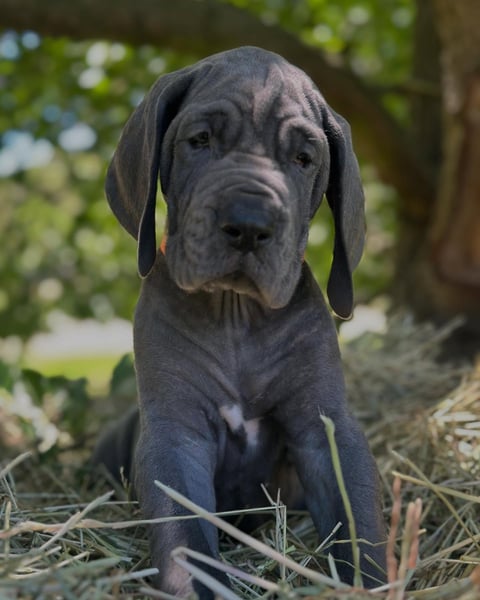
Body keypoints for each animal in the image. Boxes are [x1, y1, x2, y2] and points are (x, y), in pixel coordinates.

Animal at [94, 45, 386, 596]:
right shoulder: (175, 436)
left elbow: (358, 523)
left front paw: (374, 581)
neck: (236, 314)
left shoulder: (324, 426)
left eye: (304, 159)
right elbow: (184, 538)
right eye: (200, 140)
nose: (249, 223)